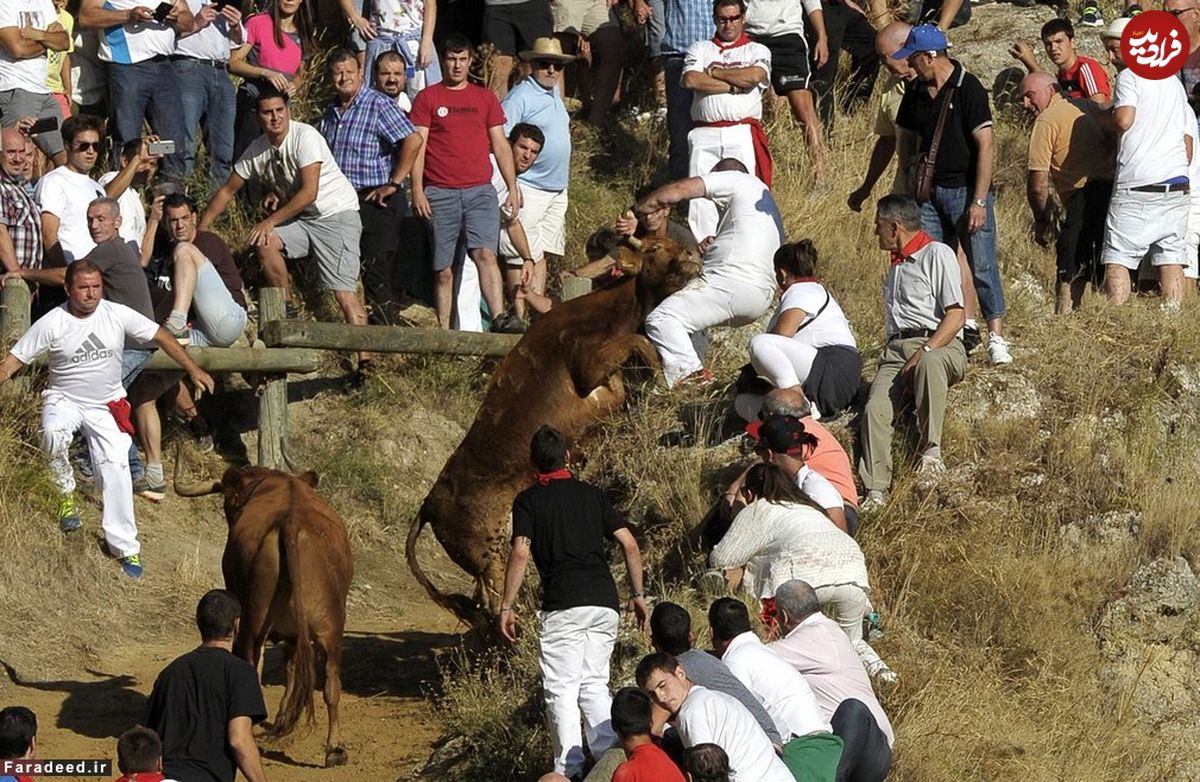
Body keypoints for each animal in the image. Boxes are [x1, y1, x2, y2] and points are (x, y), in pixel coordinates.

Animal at [175, 460, 350, 767]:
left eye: (229, 500)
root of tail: (291, 523)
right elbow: (291, 667)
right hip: (331, 627)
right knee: (331, 682)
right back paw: (334, 749)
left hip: (253, 622)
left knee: (254, 666)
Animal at [408, 235, 700, 628]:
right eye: (654, 248)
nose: (692, 254)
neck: (614, 310)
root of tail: (429, 502)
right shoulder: (588, 367)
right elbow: (639, 344)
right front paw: (662, 372)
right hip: (485, 549)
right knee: (495, 597)